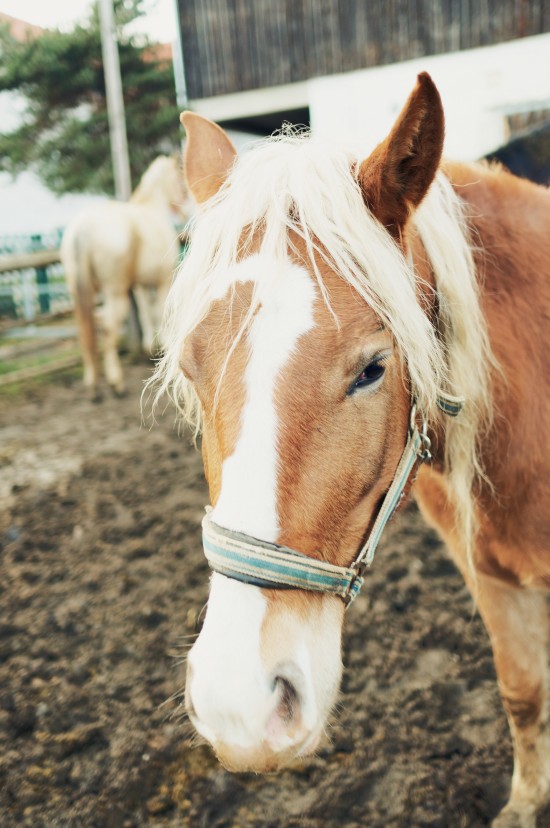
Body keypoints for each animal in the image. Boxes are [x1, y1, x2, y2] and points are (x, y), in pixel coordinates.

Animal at [61, 158, 191, 402]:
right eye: (180, 180)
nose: (185, 211)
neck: (152, 209)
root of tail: (83, 229)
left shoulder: (140, 285)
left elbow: (147, 312)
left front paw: (151, 347)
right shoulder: (163, 281)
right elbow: (160, 312)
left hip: (80, 294)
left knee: (85, 332)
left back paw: (93, 385)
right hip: (115, 293)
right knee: (109, 328)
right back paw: (116, 383)